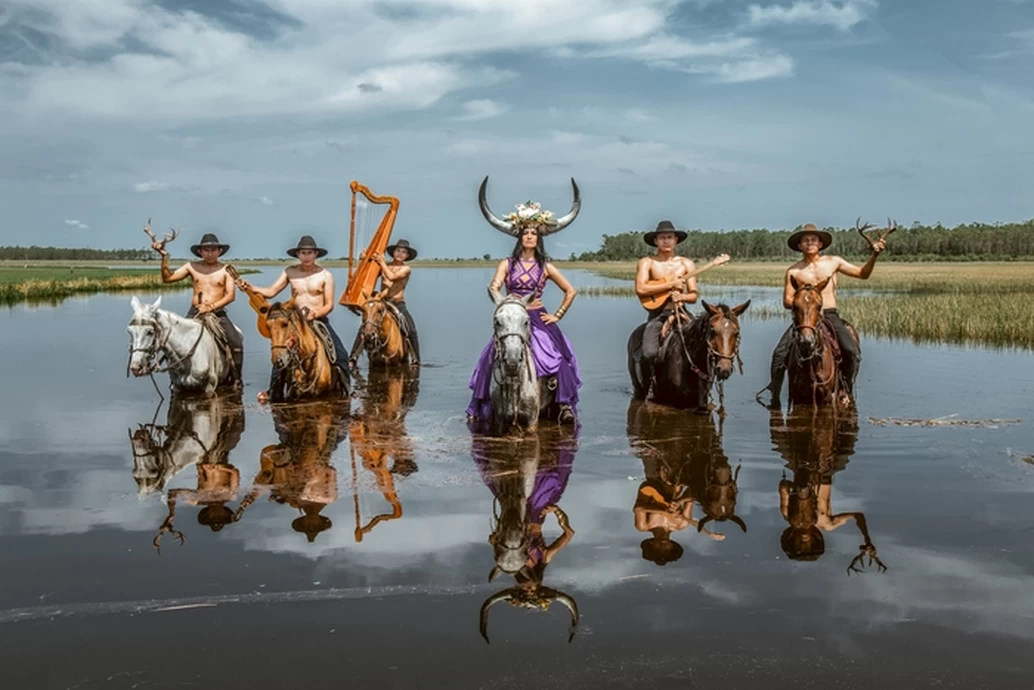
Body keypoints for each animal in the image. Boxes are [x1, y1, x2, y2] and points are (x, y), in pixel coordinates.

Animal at [785, 277, 860, 409]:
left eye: (819, 306)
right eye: (794, 305)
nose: (806, 341)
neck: (811, 362)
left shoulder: (827, 398)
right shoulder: (798, 397)